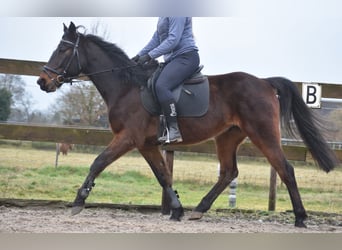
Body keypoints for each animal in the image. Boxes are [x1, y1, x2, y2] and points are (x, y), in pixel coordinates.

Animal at [36, 22, 338, 228]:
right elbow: (163, 175)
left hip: (263, 134)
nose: (42, 81)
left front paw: (79, 201)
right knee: (228, 172)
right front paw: (177, 209)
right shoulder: (146, 144)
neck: (126, 87)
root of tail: (264, 82)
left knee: (285, 169)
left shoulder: (128, 137)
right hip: (227, 137)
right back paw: (199, 209)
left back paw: (300, 218)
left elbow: (98, 162)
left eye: (63, 49)